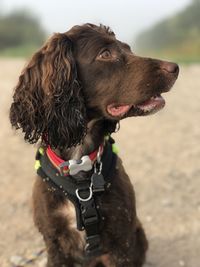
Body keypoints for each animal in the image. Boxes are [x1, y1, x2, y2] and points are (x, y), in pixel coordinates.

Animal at [9, 24, 179, 266]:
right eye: (105, 54)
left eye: (128, 49)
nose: (175, 67)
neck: (79, 164)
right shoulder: (55, 241)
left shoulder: (121, 239)